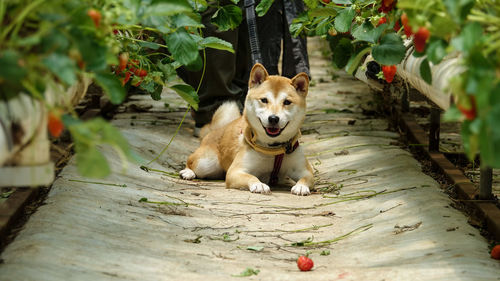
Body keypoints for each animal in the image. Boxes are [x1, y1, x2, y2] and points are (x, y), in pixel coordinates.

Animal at [179, 63, 312, 195]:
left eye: (287, 102)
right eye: (264, 100)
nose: (273, 118)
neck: (272, 149)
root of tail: (215, 130)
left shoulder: (304, 170)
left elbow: (306, 178)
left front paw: (301, 186)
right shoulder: (235, 171)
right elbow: (251, 176)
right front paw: (259, 184)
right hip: (205, 163)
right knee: (191, 162)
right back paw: (187, 172)